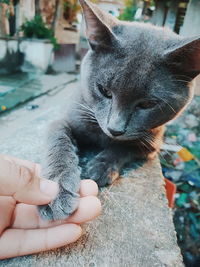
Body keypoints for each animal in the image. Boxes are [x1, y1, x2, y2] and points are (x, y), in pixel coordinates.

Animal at [38, 0, 200, 221]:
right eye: (104, 90)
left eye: (147, 104)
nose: (115, 129)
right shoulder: (66, 118)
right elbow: (59, 142)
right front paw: (55, 192)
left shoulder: (152, 143)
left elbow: (124, 147)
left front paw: (101, 167)